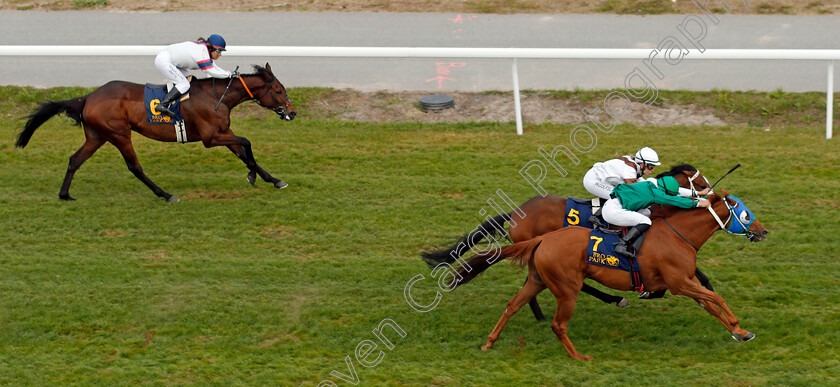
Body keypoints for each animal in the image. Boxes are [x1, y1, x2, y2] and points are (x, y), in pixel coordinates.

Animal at [13, 63, 296, 203]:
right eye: (279, 90)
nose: (292, 112)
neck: (217, 96)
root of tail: (89, 97)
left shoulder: (223, 131)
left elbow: (242, 150)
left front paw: (271, 179)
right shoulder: (210, 138)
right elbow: (246, 143)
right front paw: (254, 175)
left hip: (97, 136)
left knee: (75, 160)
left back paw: (65, 195)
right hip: (119, 134)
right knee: (135, 167)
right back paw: (166, 195)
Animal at [424, 164, 712, 318]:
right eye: (697, 178)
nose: (709, 191)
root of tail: (515, 213)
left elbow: (698, 273)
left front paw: (706, 292)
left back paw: (538, 314)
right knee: (575, 284)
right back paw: (610, 300)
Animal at [452, 189, 768, 362]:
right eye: (745, 213)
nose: (763, 231)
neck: (678, 234)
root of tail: (542, 239)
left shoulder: (686, 282)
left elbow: (711, 303)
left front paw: (739, 332)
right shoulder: (680, 283)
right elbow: (716, 297)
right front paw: (739, 327)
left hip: (537, 280)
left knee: (512, 306)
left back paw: (489, 342)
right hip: (567, 287)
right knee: (558, 324)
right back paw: (579, 355)